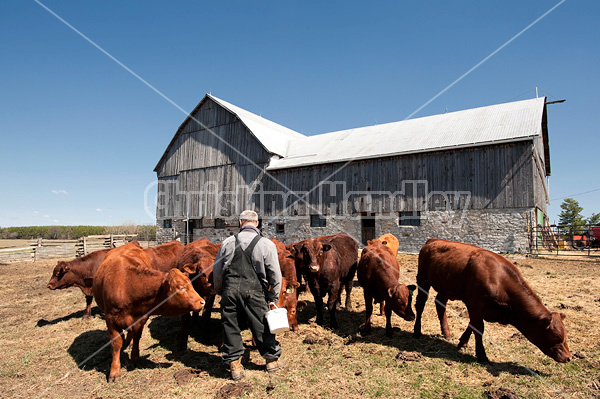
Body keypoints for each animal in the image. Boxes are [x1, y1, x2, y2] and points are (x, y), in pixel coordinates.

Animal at [92, 242, 205, 382]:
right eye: (180, 288)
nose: (202, 302)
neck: (127, 284)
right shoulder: (110, 319)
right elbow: (116, 343)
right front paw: (114, 371)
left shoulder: (141, 318)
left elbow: (137, 337)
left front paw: (135, 357)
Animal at [412, 239, 572, 364]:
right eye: (557, 337)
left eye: (565, 336)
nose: (568, 357)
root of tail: (432, 241)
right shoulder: (475, 303)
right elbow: (478, 328)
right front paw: (482, 356)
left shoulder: (480, 308)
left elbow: (472, 325)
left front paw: (462, 342)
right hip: (423, 280)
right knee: (420, 305)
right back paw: (417, 331)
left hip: (446, 288)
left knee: (440, 305)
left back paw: (446, 332)